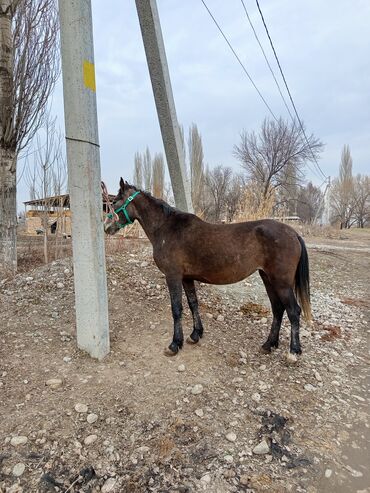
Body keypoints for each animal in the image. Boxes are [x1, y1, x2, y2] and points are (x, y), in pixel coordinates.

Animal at [104, 179, 312, 360]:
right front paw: (195, 334)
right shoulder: (186, 278)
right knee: (278, 309)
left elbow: (177, 309)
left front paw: (175, 344)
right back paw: (269, 344)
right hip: (267, 278)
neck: (166, 228)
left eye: (114, 202)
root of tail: (293, 233)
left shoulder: (173, 276)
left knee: (293, 311)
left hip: (281, 282)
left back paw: (293, 352)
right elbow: (193, 304)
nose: (106, 227)